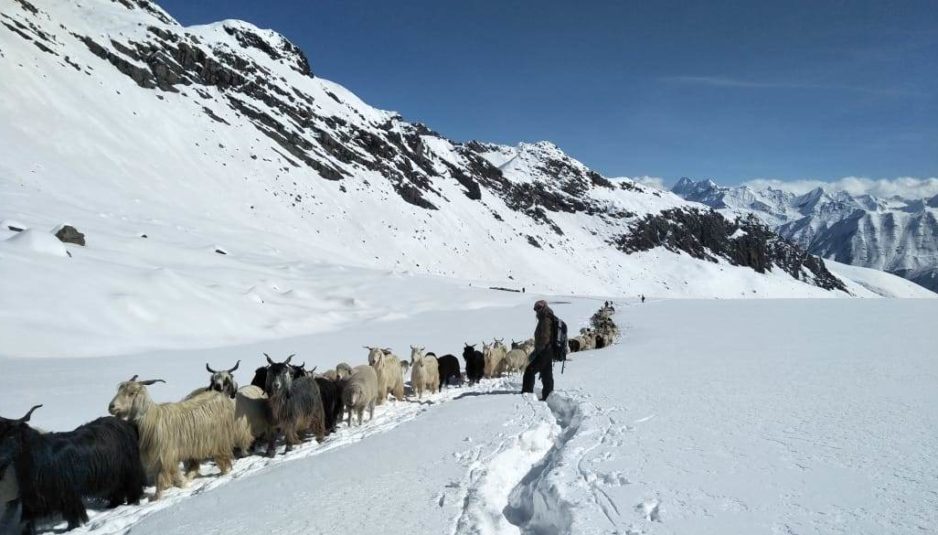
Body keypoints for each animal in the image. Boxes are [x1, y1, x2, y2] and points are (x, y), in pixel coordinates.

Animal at [0, 406, 145, 532]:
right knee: (117, 491)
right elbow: (27, 521)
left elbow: (73, 516)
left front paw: (72, 529)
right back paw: (112, 505)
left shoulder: (67, 494)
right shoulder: (31, 498)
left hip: (129, 470)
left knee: (132, 488)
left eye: (12, 436)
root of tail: (126, 425)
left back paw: (132, 504)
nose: (1, 459)